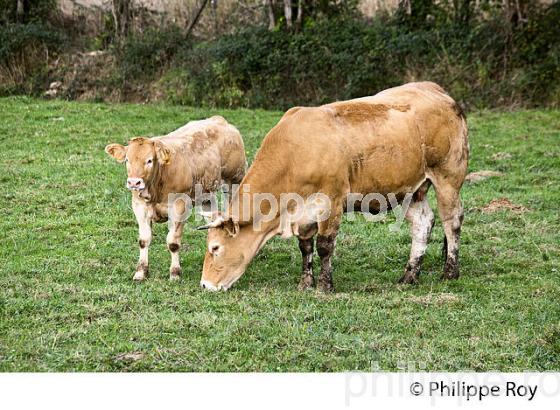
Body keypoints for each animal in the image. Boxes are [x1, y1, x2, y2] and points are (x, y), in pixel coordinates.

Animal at [105, 117, 245, 280]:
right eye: (127, 160)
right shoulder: (139, 206)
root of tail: (219, 119)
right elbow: (144, 240)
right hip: (206, 193)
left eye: (150, 160)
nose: (134, 182)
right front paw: (141, 272)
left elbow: (173, 242)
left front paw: (175, 273)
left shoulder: (179, 206)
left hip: (234, 180)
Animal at [197, 81, 468, 292]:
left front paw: (325, 285)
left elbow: (325, 246)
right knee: (423, 223)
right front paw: (305, 283)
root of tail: (436, 90)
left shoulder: (332, 201)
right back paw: (409, 275)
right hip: (411, 190)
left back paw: (450, 271)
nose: (205, 284)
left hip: (448, 178)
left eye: (215, 247)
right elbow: (305, 246)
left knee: (452, 221)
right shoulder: (304, 213)